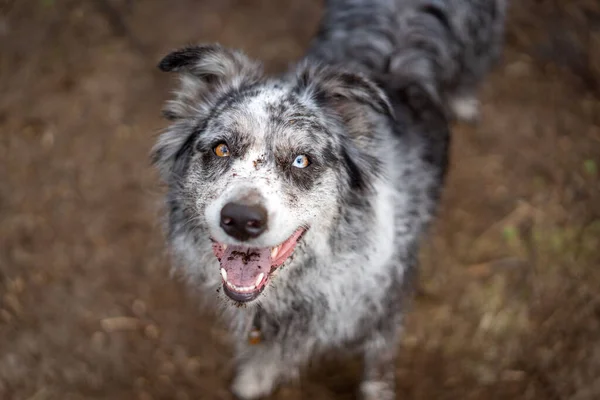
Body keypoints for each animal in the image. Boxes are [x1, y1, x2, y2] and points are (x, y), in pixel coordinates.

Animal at [151, 0, 506, 400]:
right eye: (221, 149)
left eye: (301, 160)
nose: (241, 219)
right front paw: (254, 380)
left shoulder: (387, 307)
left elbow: (378, 364)